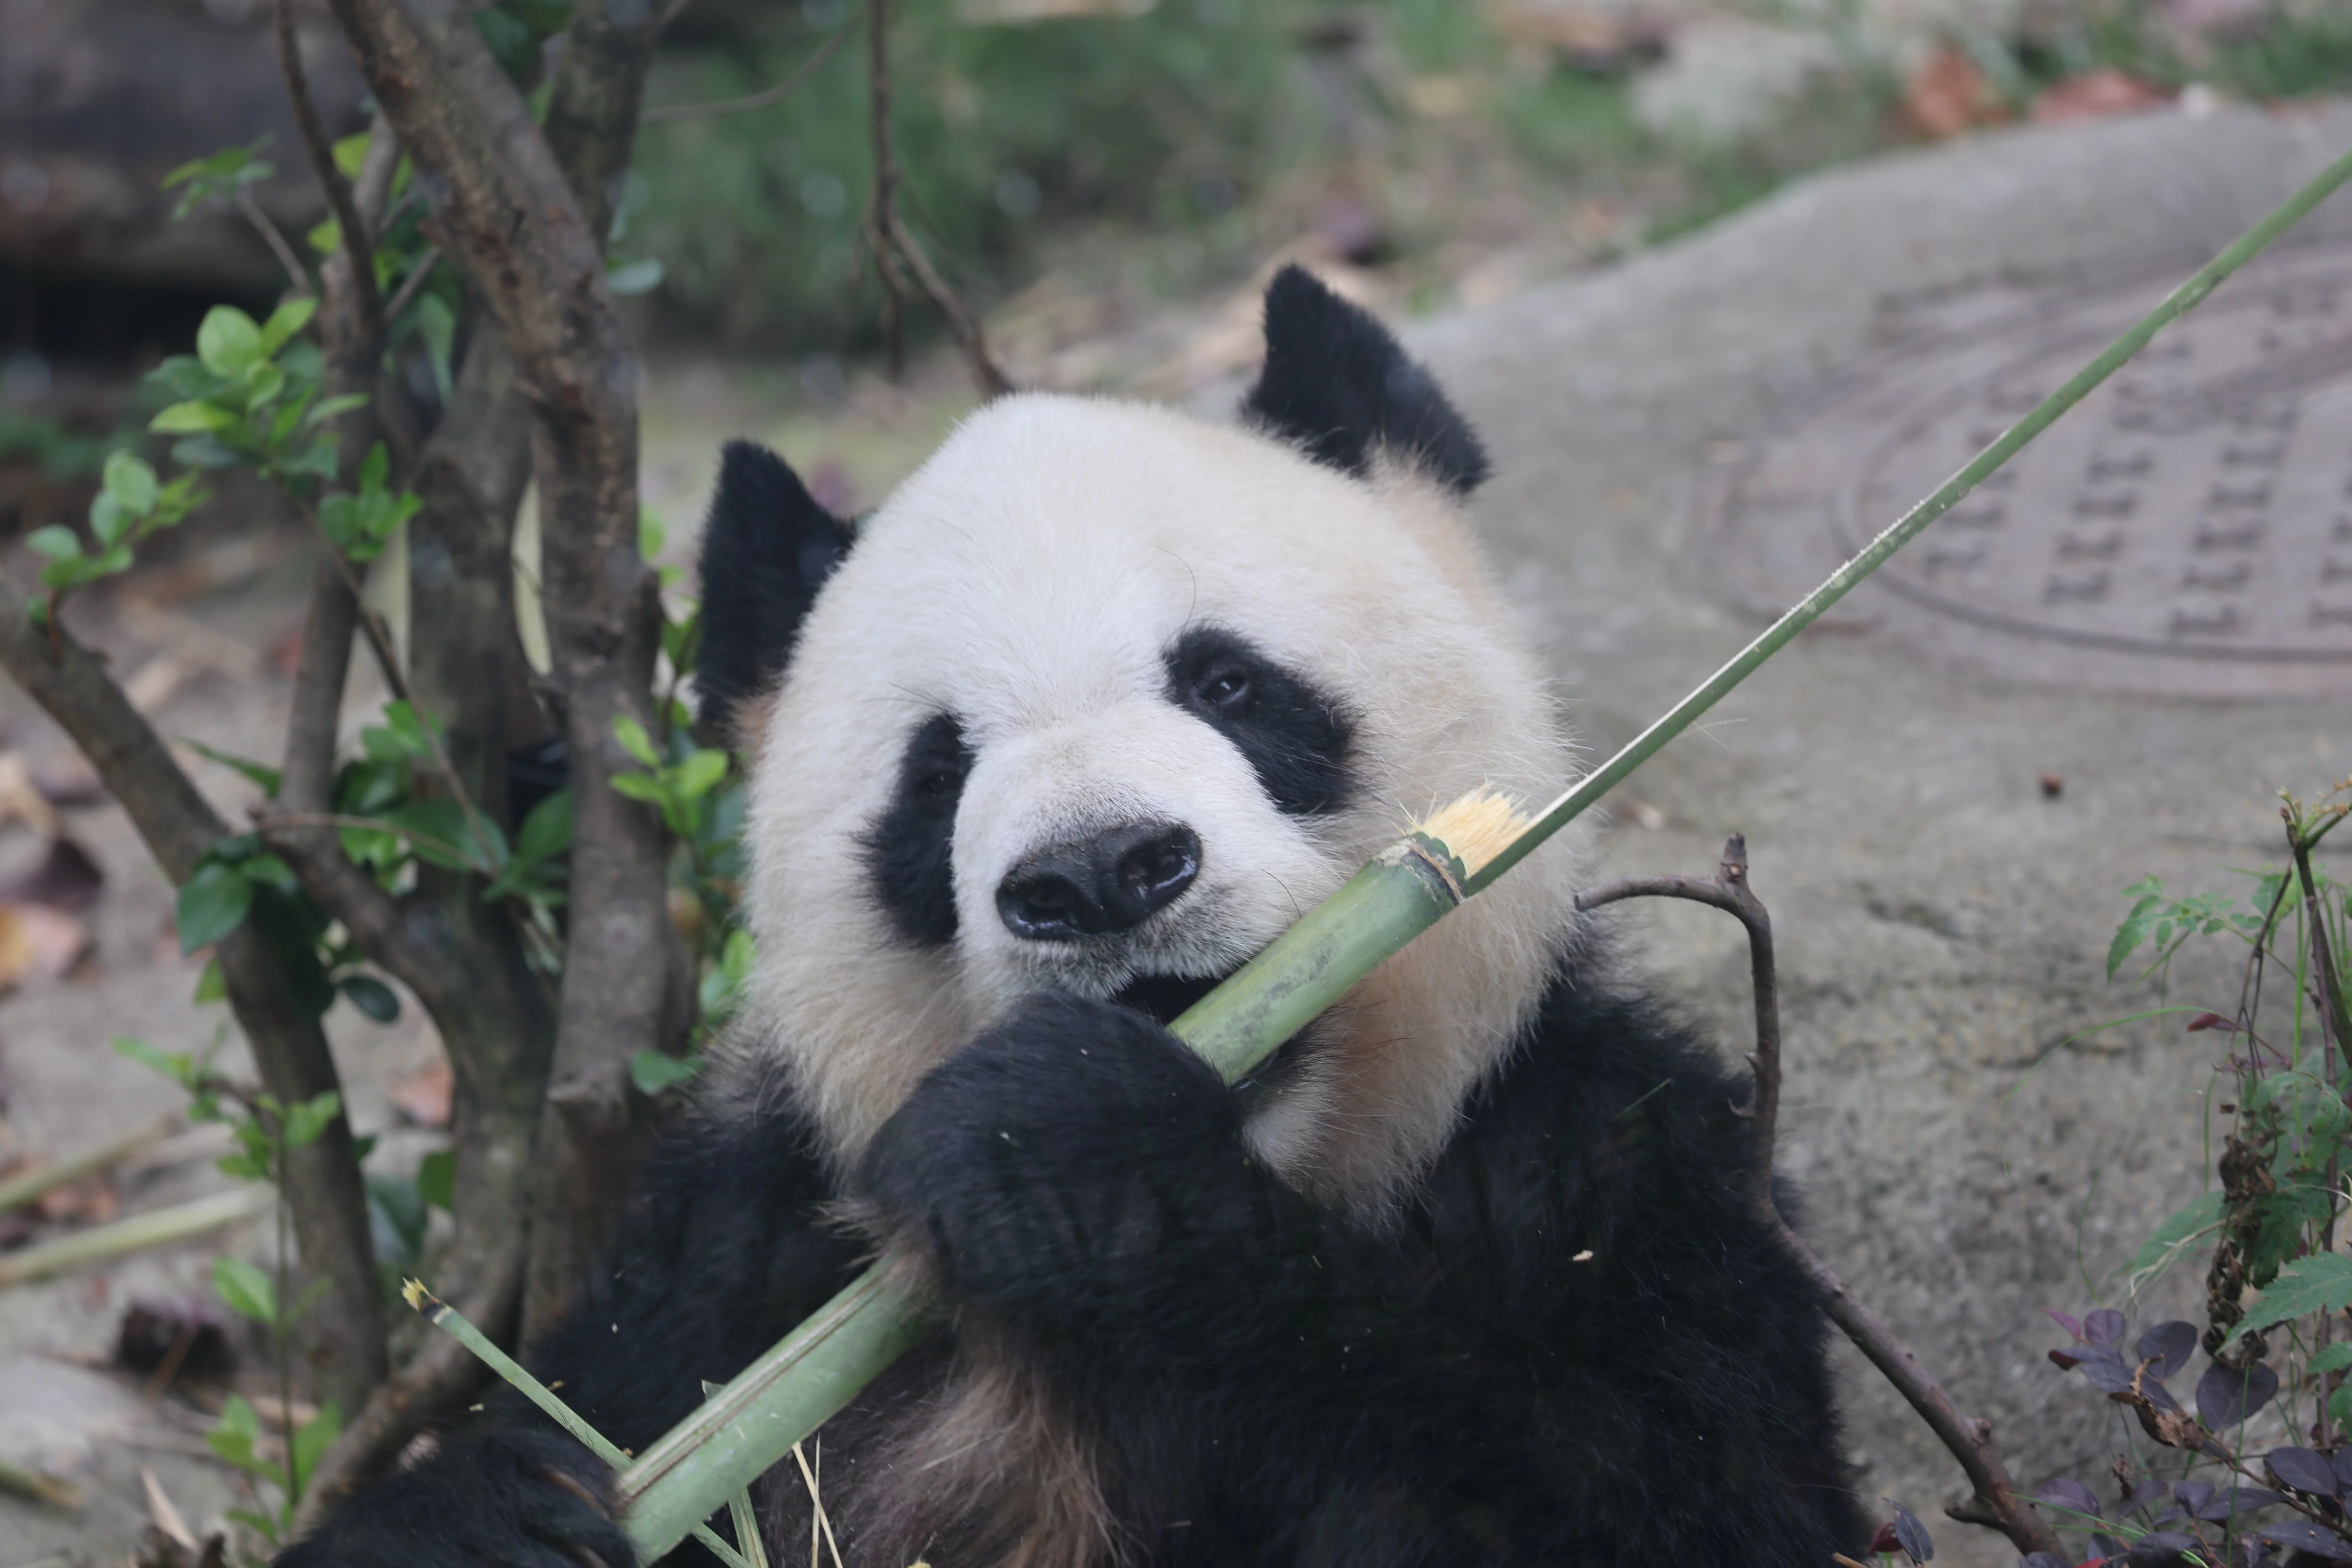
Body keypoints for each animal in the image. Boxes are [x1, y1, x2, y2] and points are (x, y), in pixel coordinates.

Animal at [281, 267, 1866, 1568]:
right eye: (937, 774)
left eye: (1226, 682)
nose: (1098, 871)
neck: (1286, 1151)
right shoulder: (729, 1271)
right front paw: (493, 1514)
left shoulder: (1601, 1164)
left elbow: (1669, 1498)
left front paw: (1070, 1160)